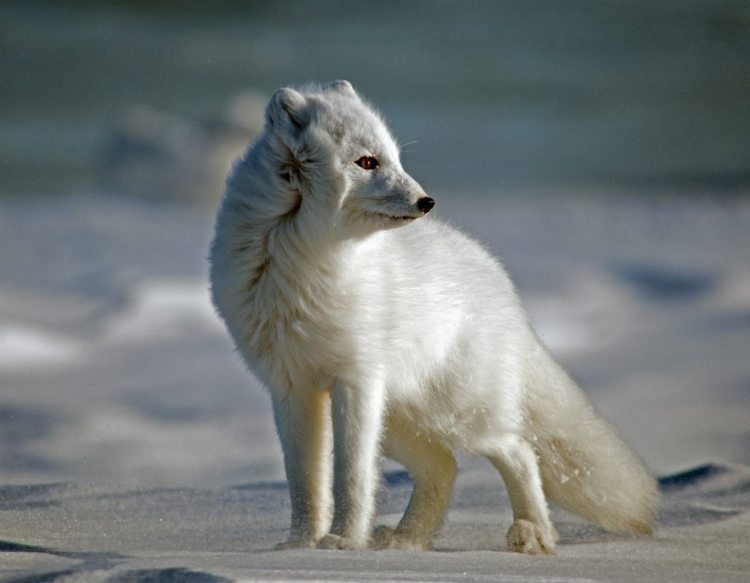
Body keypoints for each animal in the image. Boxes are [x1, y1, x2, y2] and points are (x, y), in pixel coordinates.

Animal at [209, 80, 660, 556]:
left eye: (395, 158)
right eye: (367, 161)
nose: (426, 201)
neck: (303, 257)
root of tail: (501, 283)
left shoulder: (357, 379)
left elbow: (352, 475)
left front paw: (343, 542)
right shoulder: (292, 388)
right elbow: (305, 481)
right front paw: (299, 545)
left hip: (455, 412)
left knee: (518, 450)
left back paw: (533, 533)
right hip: (400, 419)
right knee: (443, 466)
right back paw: (406, 540)